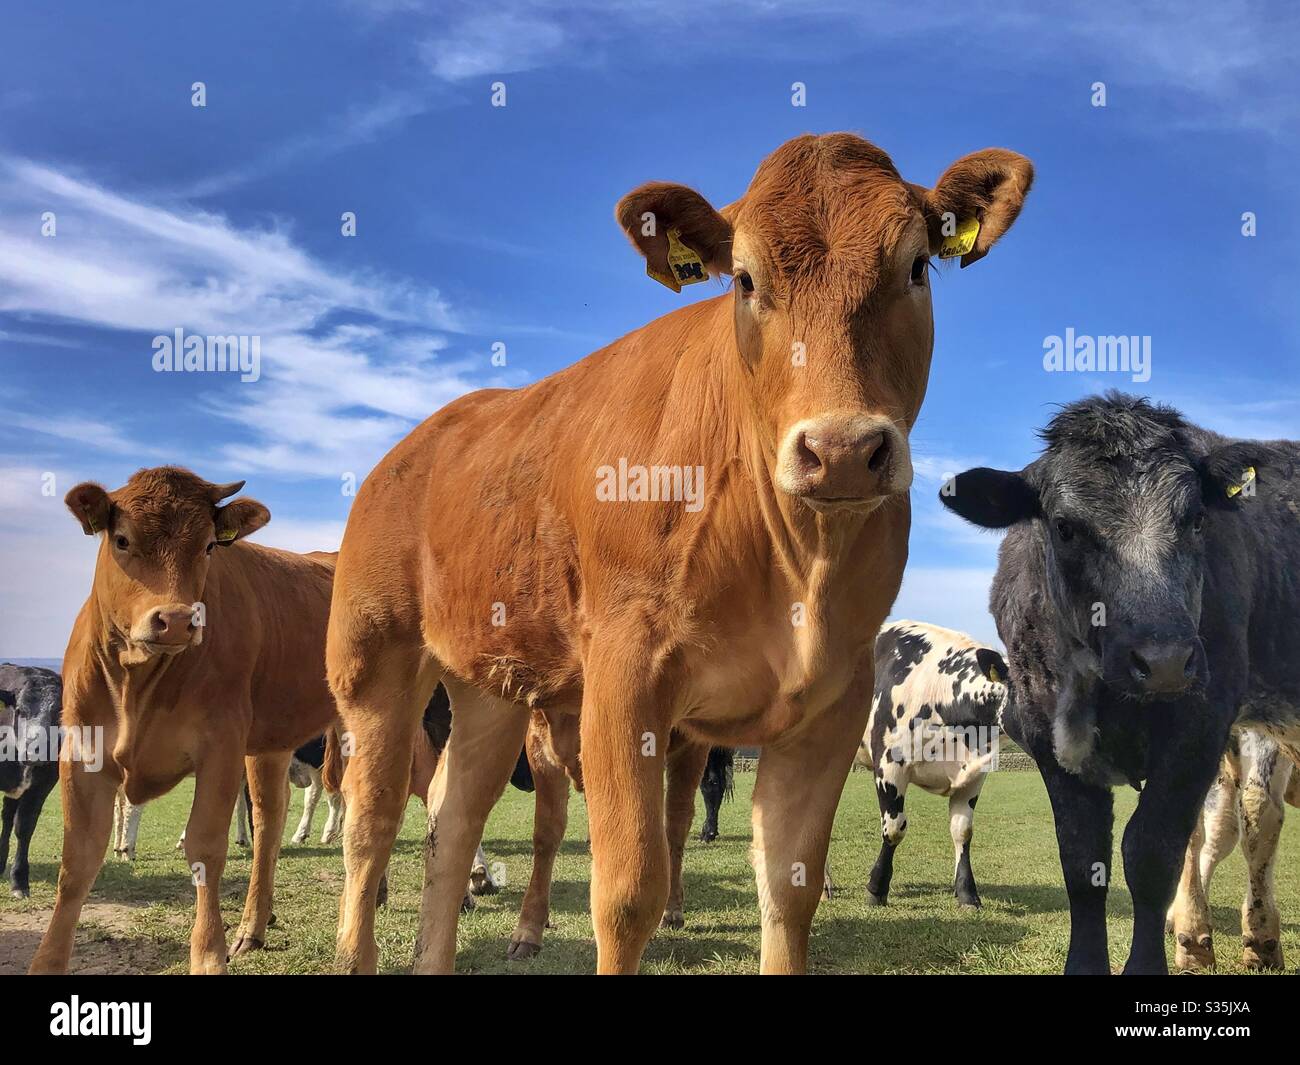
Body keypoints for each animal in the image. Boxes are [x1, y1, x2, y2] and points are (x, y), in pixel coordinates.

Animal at [0, 664, 62, 898]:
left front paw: (19, 881)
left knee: (8, 818)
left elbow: (24, 827)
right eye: (20, 710)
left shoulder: (42, 786)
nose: (35, 749)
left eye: (58, 713)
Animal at [29, 467, 341, 975]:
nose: (176, 619)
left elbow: (206, 850)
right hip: (272, 739)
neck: (136, 683)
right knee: (271, 819)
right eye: (121, 539)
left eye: (210, 546)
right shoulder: (82, 754)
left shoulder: (221, 745)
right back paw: (254, 927)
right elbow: (77, 862)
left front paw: (209, 955)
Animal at [860, 621, 1006, 909]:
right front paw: (877, 888)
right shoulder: (889, 765)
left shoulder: (975, 775)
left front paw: (966, 893)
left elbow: (963, 830)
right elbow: (894, 828)